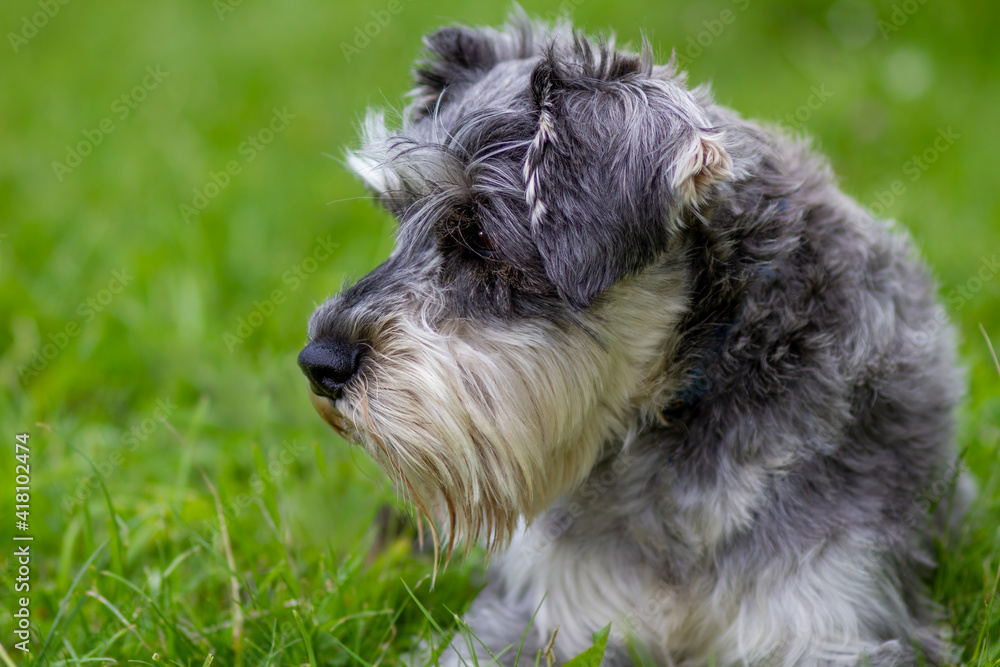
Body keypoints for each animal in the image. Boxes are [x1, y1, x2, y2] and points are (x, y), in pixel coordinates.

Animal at [296, 11, 968, 667]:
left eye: (479, 235)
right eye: (397, 217)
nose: (318, 364)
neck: (667, 418)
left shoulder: (837, 625)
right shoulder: (533, 618)